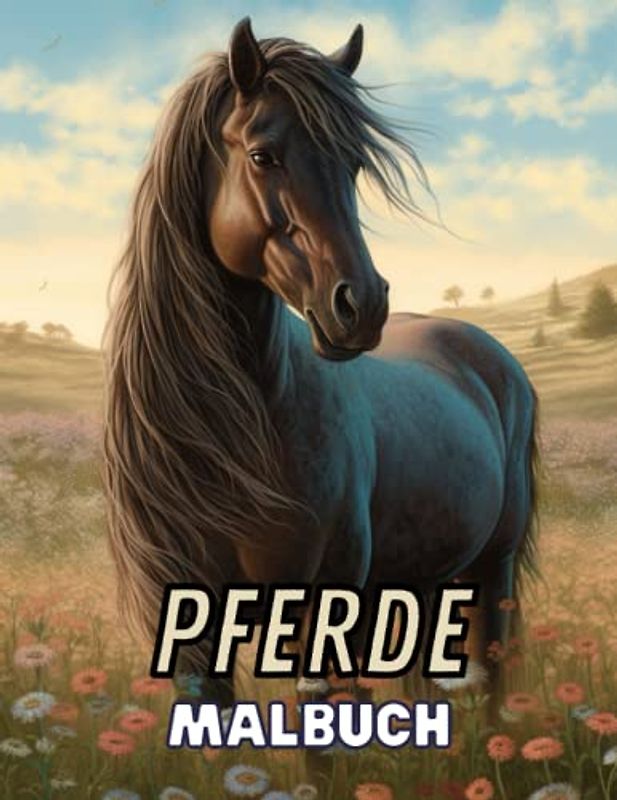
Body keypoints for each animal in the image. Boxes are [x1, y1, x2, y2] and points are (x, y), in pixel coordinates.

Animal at [103, 18, 539, 707]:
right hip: (421, 582)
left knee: (494, 676)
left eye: (353, 164)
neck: (237, 437)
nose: (361, 304)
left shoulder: (324, 612)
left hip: (491, 573)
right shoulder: (194, 634)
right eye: (263, 155)